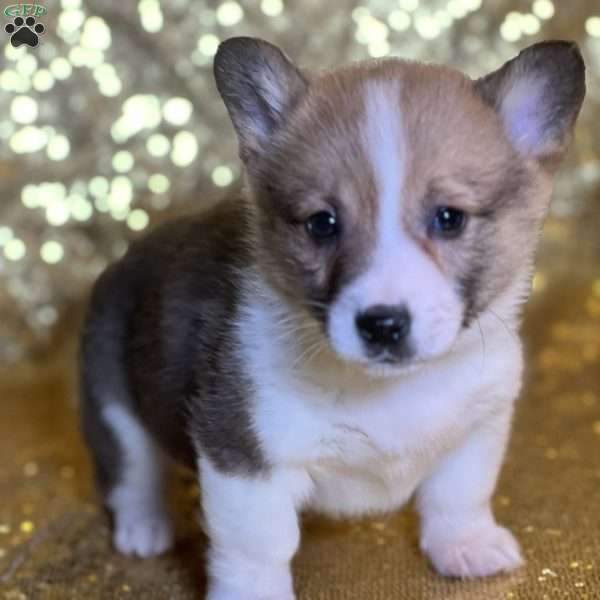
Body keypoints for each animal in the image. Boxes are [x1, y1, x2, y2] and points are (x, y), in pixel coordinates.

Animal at [79, 38, 584, 600]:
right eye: (322, 223)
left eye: (449, 218)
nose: (383, 325)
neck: (388, 389)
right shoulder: (243, 453)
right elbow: (258, 545)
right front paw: (254, 594)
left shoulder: (479, 426)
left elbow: (460, 493)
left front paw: (467, 546)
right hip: (110, 396)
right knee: (130, 469)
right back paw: (143, 527)